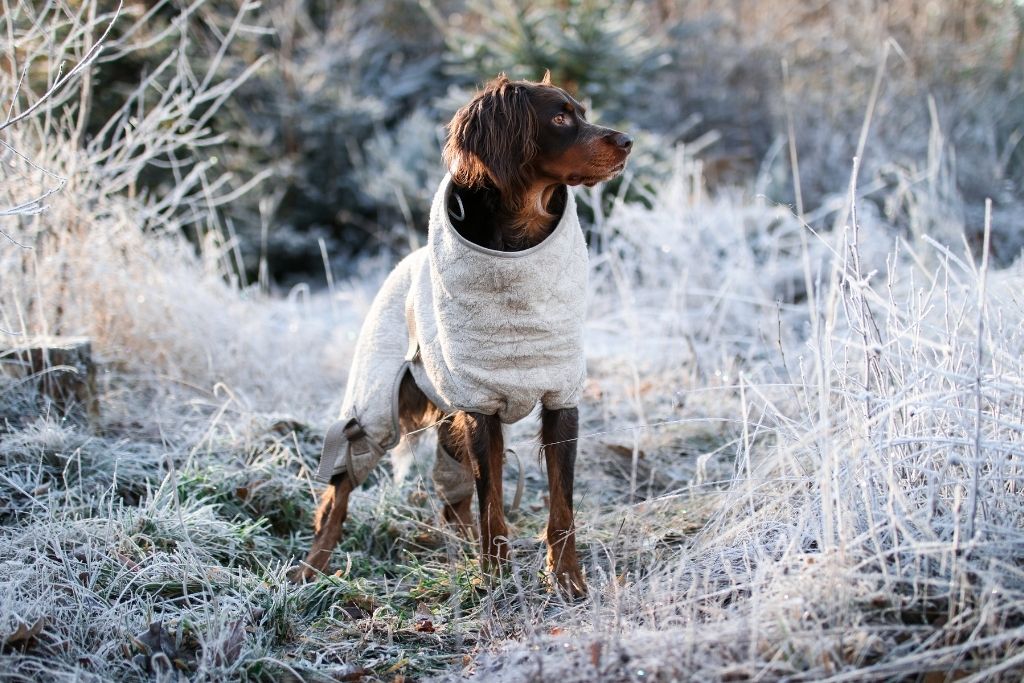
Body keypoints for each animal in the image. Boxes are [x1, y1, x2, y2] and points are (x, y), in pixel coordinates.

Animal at [292, 76, 630, 598]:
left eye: (582, 112)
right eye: (559, 117)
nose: (627, 142)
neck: (516, 250)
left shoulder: (560, 399)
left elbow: (560, 505)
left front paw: (567, 580)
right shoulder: (481, 407)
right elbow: (493, 504)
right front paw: (496, 579)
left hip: (445, 419)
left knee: (453, 498)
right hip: (373, 409)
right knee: (339, 491)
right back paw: (312, 571)